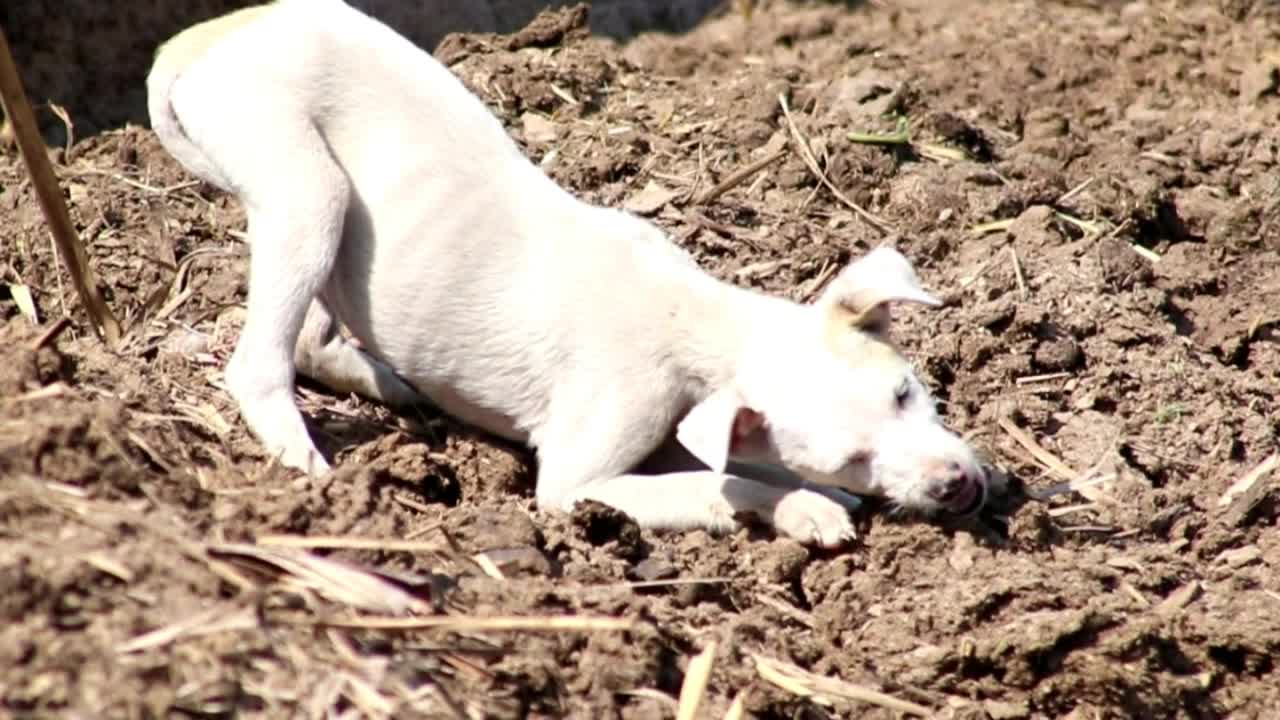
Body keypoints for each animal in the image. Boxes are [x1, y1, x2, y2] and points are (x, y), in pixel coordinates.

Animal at [145, 0, 983, 543]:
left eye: (907, 393)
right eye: (852, 458)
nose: (963, 487)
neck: (697, 317)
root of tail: (216, 33)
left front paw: (812, 496)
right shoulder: (577, 483)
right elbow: (717, 483)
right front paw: (813, 509)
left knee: (315, 338)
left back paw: (391, 382)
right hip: (307, 190)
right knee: (261, 361)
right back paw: (306, 466)